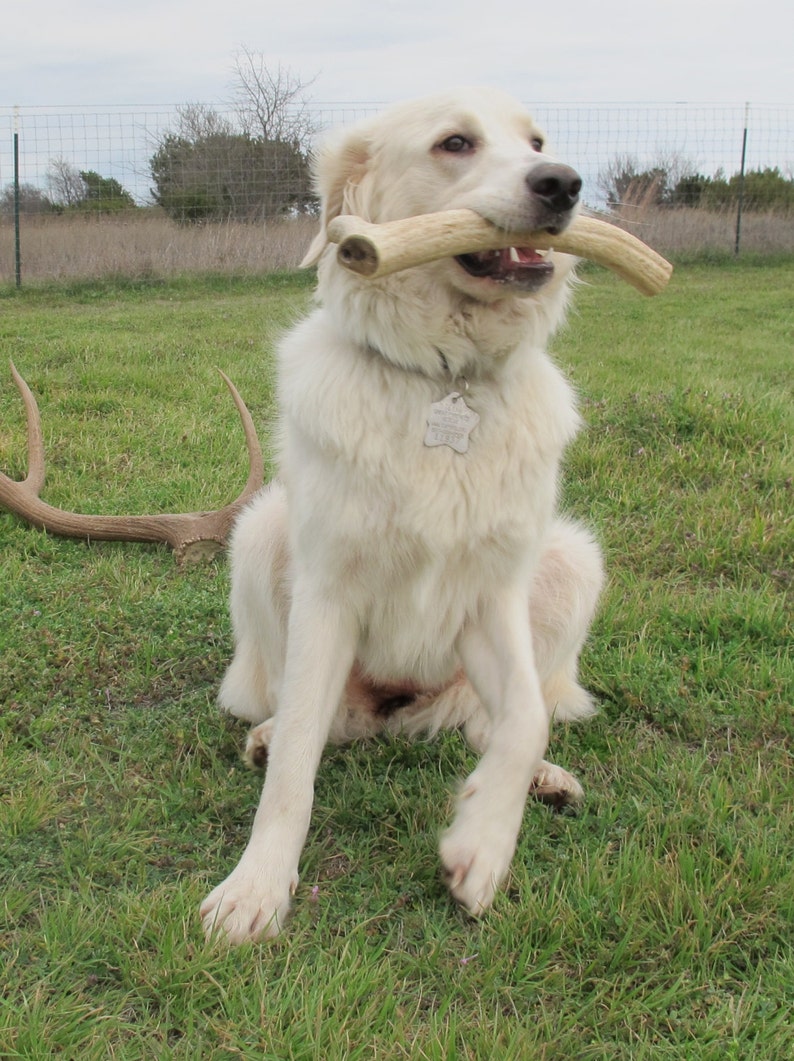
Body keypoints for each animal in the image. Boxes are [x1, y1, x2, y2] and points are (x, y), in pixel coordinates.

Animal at [201, 87, 602, 942]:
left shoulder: (490, 600)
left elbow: (524, 720)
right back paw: (265, 736)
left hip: (573, 557)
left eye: (536, 142)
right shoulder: (327, 594)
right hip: (260, 533)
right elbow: (296, 763)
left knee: (490, 723)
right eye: (455, 143)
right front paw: (257, 887)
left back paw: (546, 780)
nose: (564, 183)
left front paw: (481, 843)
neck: (444, 378)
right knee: (306, 719)